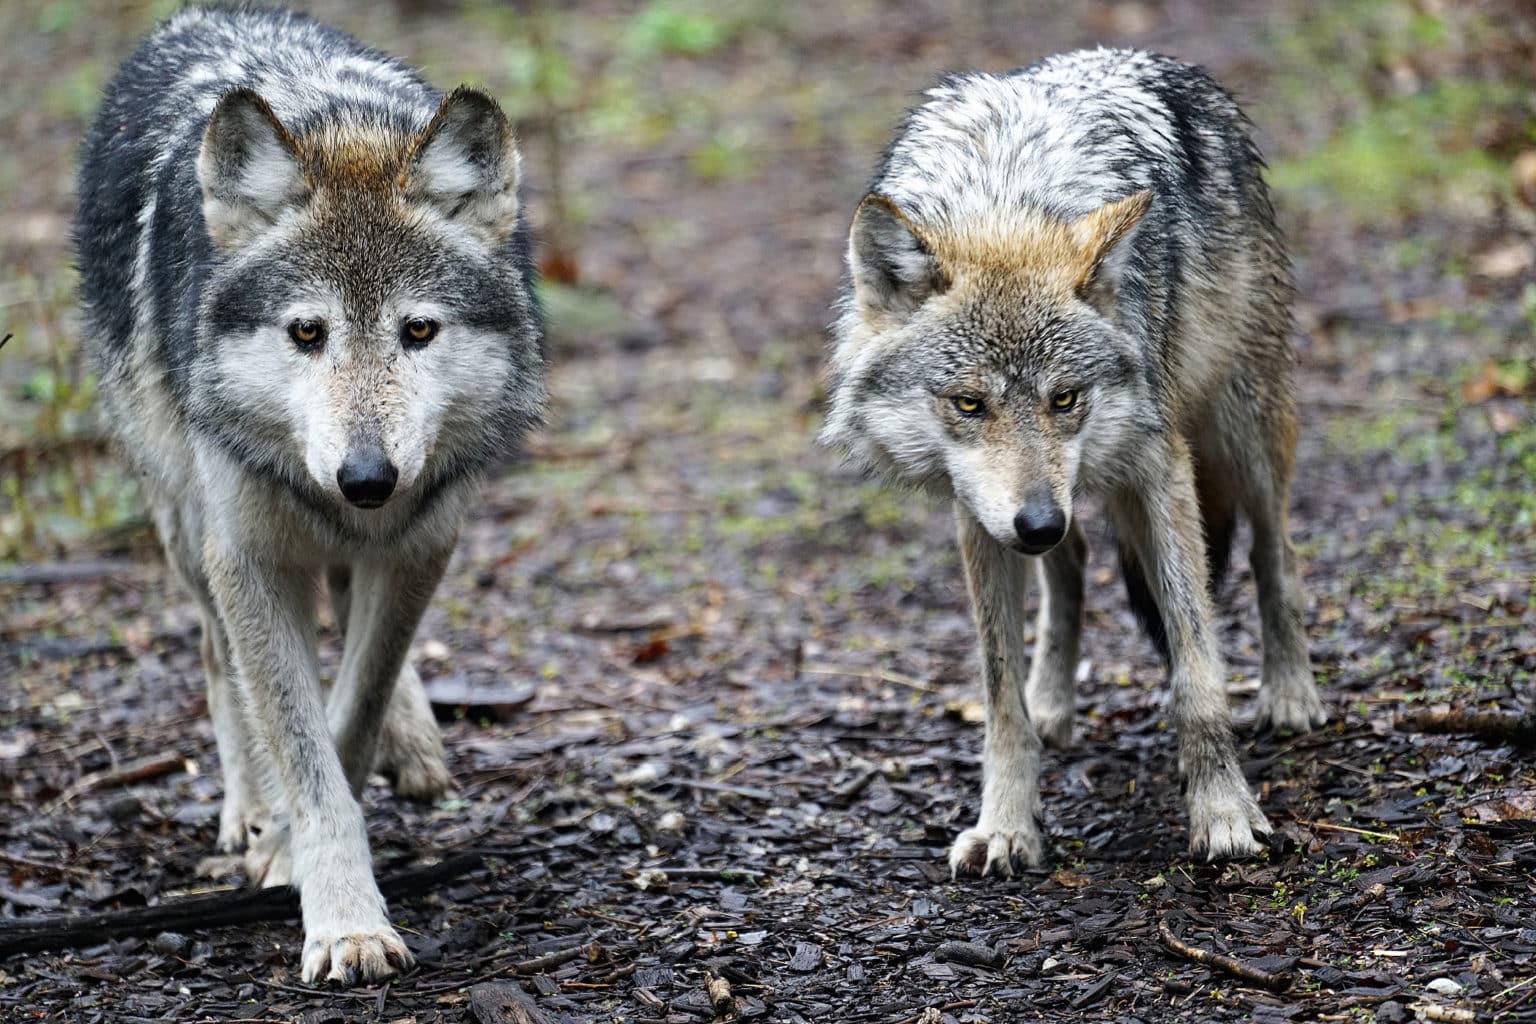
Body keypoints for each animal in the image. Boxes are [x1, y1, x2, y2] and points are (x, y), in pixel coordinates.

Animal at [75, 6, 544, 983]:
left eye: (418, 331)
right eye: (306, 332)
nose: (365, 480)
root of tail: (201, 16)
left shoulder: (420, 543)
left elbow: (353, 710)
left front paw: (312, 841)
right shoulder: (250, 559)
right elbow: (298, 741)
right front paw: (339, 915)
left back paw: (414, 744)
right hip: (187, 529)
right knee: (216, 658)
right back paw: (249, 812)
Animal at [822, 49, 1326, 877]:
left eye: (1065, 398)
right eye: (969, 404)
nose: (1036, 521)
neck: (1004, 199)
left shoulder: (1159, 465)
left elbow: (1197, 665)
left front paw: (1223, 813)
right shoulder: (979, 514)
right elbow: (1000, 700)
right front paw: (1006, 825)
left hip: (1240, 426)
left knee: (1273, 551)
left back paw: (1290, 694)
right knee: (1076, 559)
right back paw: (1053, 701)